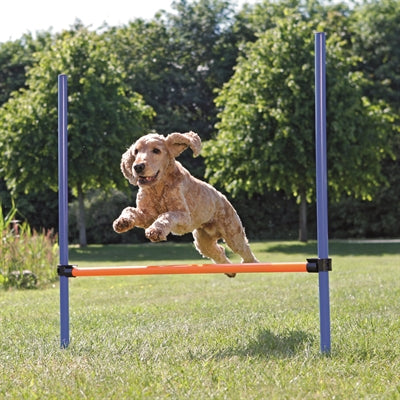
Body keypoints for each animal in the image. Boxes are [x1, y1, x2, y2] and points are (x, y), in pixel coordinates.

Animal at [111, 133, 260, 276]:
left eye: (156, 150)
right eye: (136, 151)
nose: (137, 167)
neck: (158, 187)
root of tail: (223, 197)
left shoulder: (183, 216)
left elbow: (166, 215)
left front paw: (155, 231)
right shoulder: (146, 215)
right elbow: (129, 210)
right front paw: (122, 222)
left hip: (232, 233)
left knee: (244, 250)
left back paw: (253, 264)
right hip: (203, 241)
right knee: (219, 251)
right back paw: (230, 271)